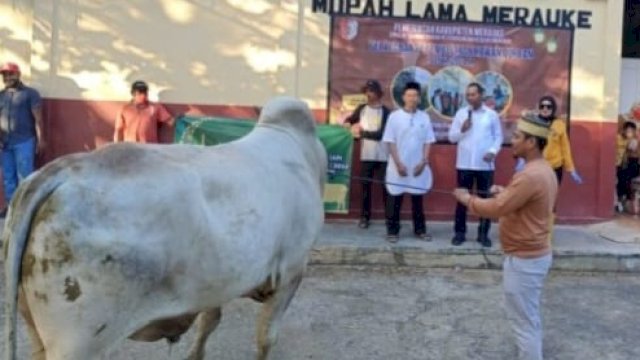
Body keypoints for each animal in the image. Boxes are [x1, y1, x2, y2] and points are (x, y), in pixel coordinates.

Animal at [2, 97, 328, 358]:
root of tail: (62, 171)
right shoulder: (291, 273)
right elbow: (266, 338)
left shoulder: (220, 282)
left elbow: (209, 322)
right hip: (79, 341)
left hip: (33, 326)